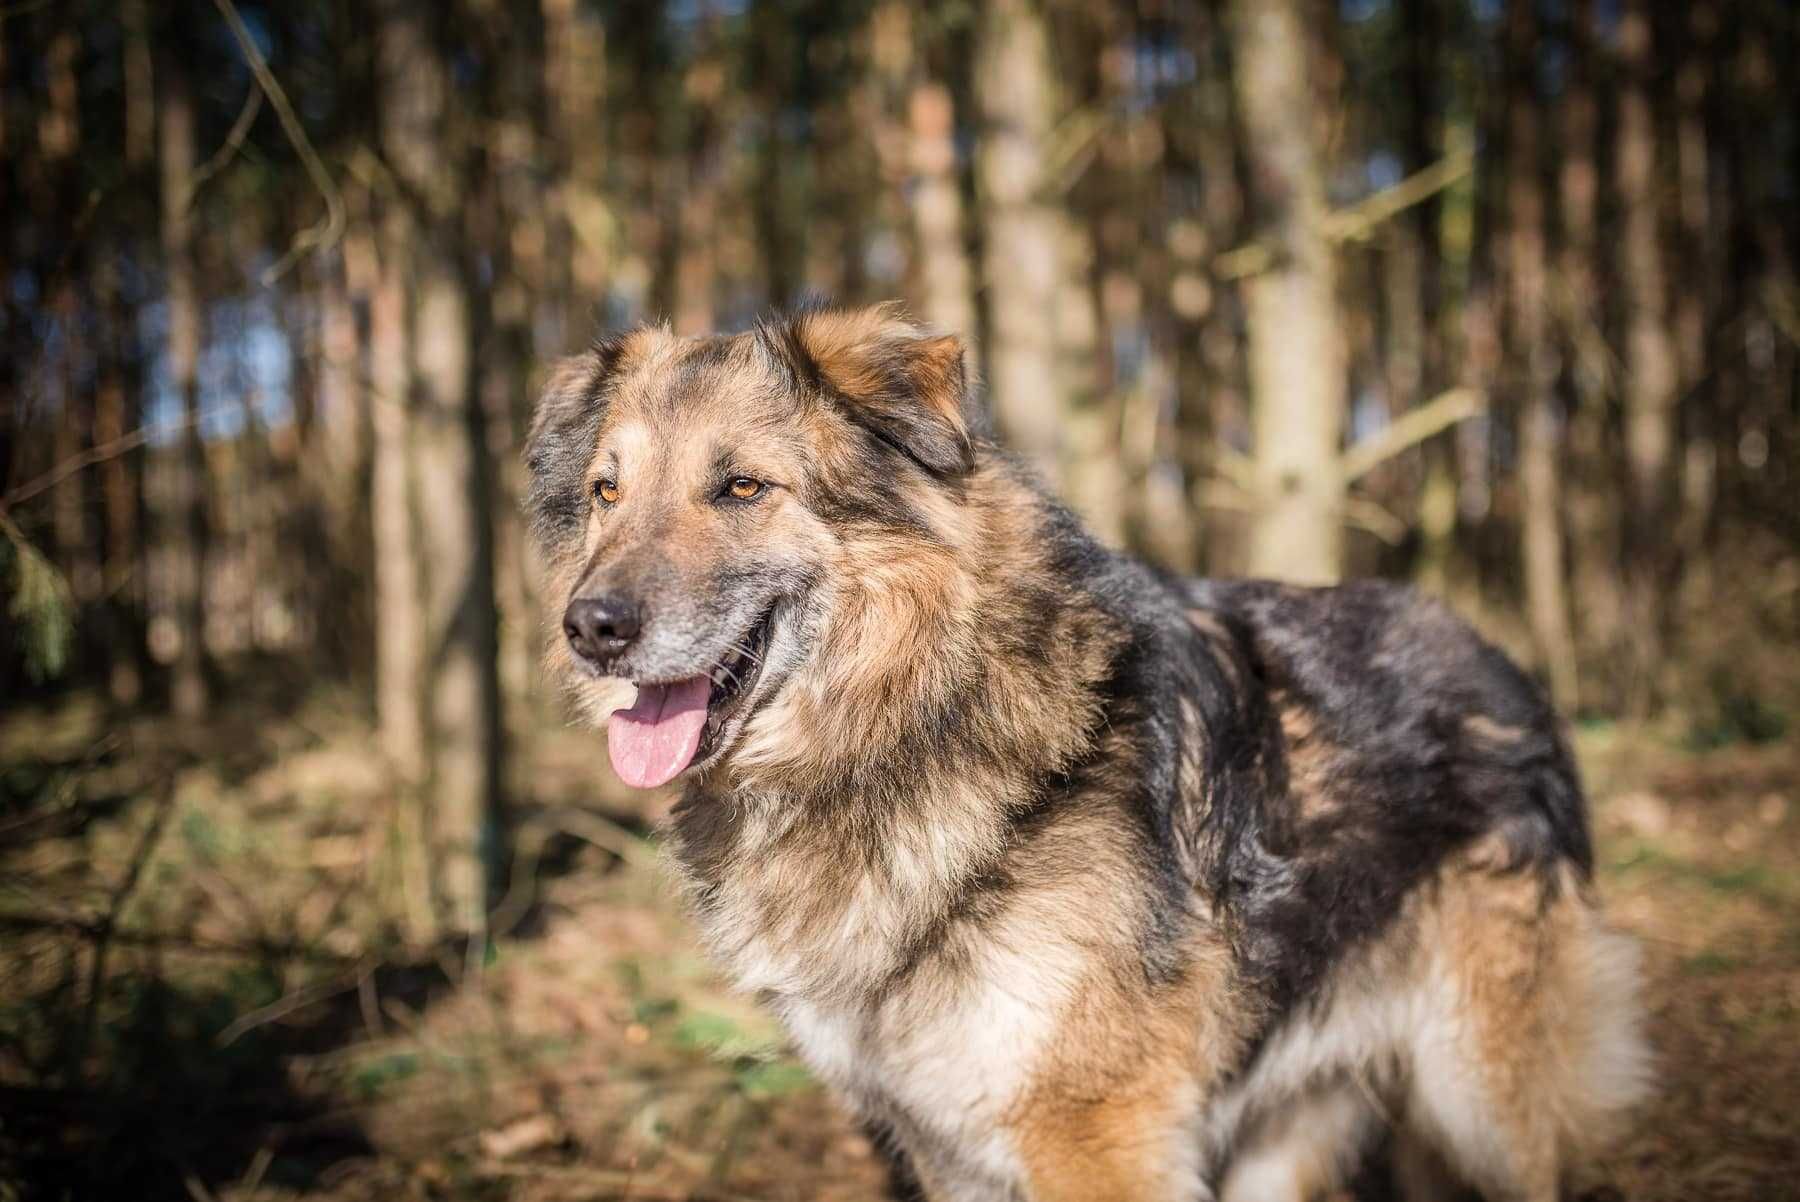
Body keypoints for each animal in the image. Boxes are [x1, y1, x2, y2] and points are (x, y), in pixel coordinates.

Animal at [522, 307, 1648, 1202]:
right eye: (608, 492)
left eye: (743, 487)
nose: (590, 627)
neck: (921, 717)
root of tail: (1498, 658)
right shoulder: (952, 1145)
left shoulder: (1094, 1135)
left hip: (1483, 1104)